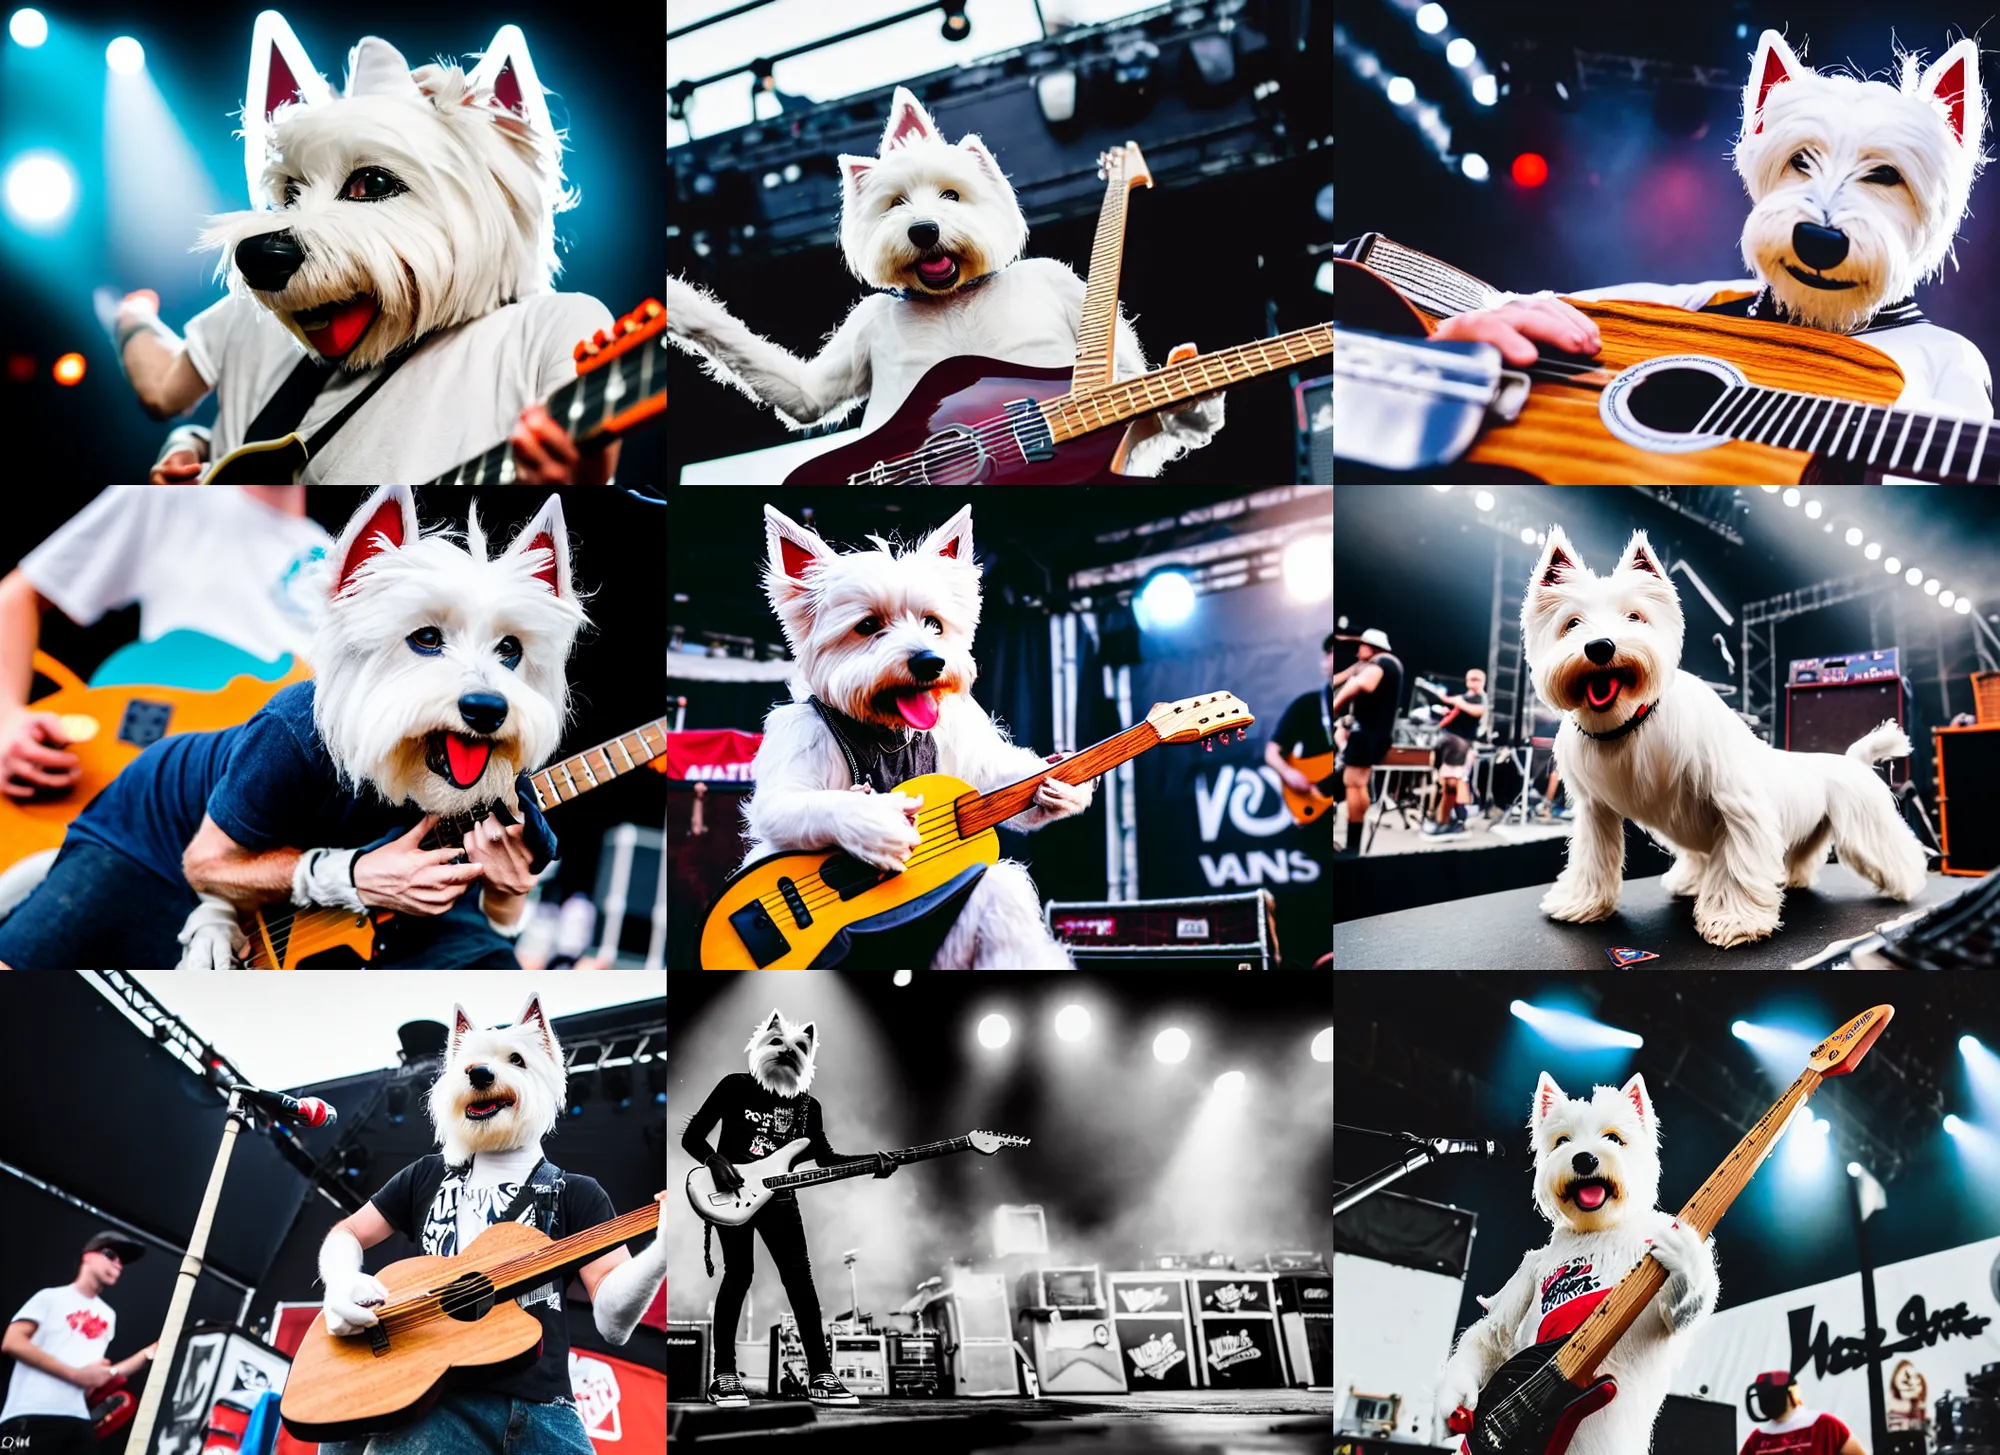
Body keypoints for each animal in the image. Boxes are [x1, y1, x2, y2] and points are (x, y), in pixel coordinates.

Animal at [668, 85, 1216, 477]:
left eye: (952, 195)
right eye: (895, 203)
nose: (923, 229)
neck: (955, 296)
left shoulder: (1071, 292)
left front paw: (1193, 408)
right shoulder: (846, 347)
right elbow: (805, 396)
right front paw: (675, 302)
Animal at [748, 505, 1088, 971]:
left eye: (933, 623)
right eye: (867, 625)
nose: (930, 661)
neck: (887, 734)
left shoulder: (964, 746)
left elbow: (1002, 780)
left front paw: (1062, 785)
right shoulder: (799, 742)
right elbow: (786, 804)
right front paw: (878, 824)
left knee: (1002, 890)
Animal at [1440, 1071, 1720, 1455]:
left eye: (1614, 1138)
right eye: (1563, 1141)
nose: (1584, 1159)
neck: (1597, 1230)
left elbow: (1680, 1312)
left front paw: (1683, 1254)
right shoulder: (1530, 1269)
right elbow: (1494, 1333)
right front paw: (1453, 1399)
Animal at [1520, 527, 1928, 947]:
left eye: (1635, 616)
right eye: (1571, 624)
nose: (1600, 647)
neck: (1628, 724)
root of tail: (1852, 761)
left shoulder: (1738, 809)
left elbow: (1736, 866)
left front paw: (1734, 919)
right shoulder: (1596, 812)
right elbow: (1593, 859)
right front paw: (1580, 903)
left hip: (1865, 826)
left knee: (1894, 852)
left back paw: (1907, 886)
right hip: (1811, 828)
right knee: (1801, 855)